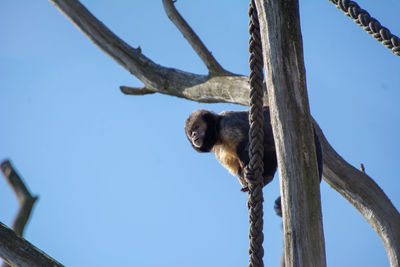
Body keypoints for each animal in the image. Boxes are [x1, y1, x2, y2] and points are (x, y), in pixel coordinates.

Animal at [186, 108, 324, 217]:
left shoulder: (227, 123)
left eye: (197, 127)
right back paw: (264, 179)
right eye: (191, 132)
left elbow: (244, 141)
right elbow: (237, 168)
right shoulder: (217, 150)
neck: (218, 136)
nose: (194, 135)